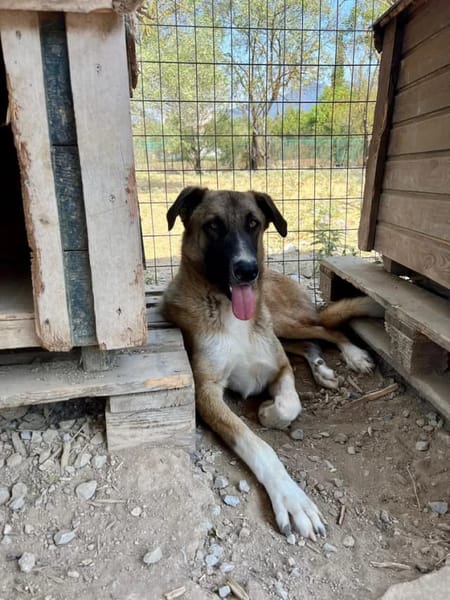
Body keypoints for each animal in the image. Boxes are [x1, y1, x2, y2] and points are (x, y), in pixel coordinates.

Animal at [162, 187, 382, 540]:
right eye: (213, 225)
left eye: (254, 224)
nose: (247, 270)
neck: (230, 314)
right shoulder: (205, 392)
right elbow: (259, 444)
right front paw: (292, 500)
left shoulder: (279, 367)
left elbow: (290, 403)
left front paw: (269, 412)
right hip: (283, 328)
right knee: (310, 341)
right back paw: (322, 369)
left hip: (282, 322)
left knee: (326, 329)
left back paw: (353, 355)